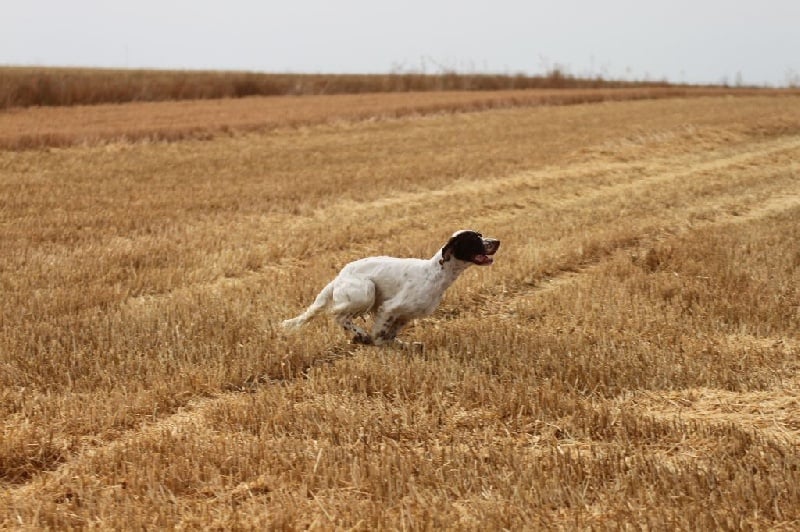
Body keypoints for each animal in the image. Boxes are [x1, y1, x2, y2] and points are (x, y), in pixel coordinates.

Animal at [282, 229, 500, 344]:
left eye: (481, 235)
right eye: (474, 239)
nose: (497, 241)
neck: (435, 274)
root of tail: (339, 277)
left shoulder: (405, 315)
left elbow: (391, 334)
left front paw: (402, 345)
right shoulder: (390, 308)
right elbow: (380, 333)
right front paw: (376, 342)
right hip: (366, 291)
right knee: (337, 315)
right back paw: (360, 334)